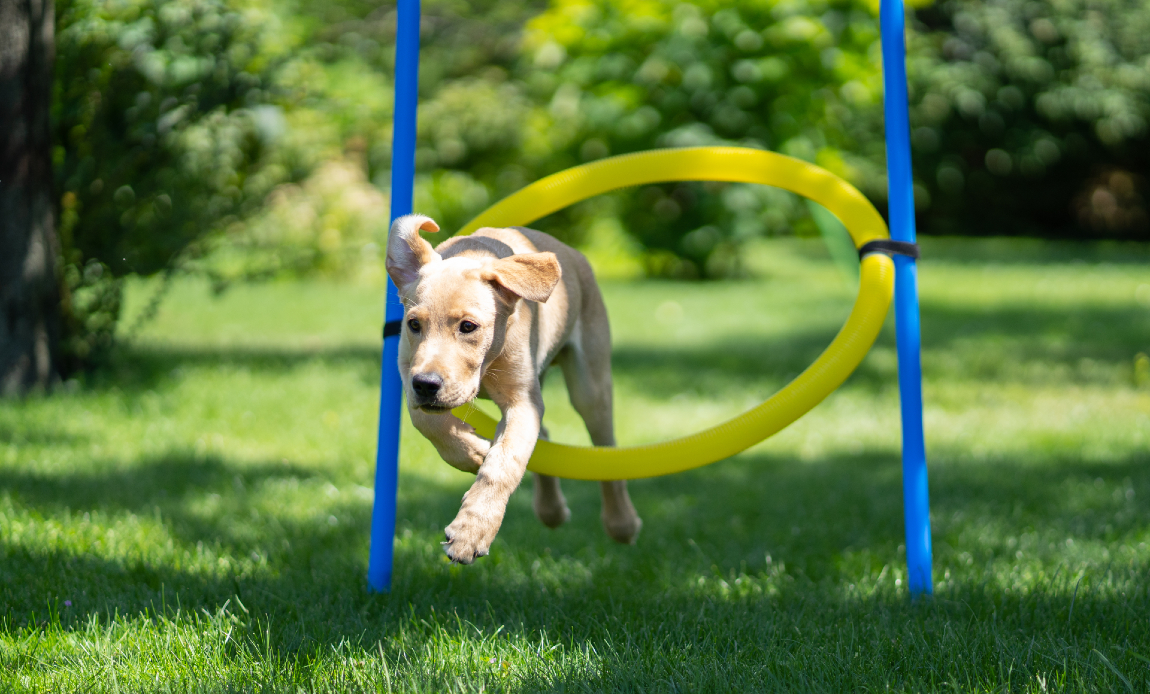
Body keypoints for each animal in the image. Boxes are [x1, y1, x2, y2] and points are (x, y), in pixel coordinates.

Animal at [384, 212, 639, 563]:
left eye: (468, 326)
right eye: (413, 324)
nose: (427, 385)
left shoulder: (522, 401)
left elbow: (505, 462)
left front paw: (471, 532)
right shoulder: (410, 374)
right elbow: (427, 420)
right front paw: (473, 452)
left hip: (590, 385)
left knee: (606, 449)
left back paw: (622, 523)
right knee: (545, 436)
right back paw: (551, 510)